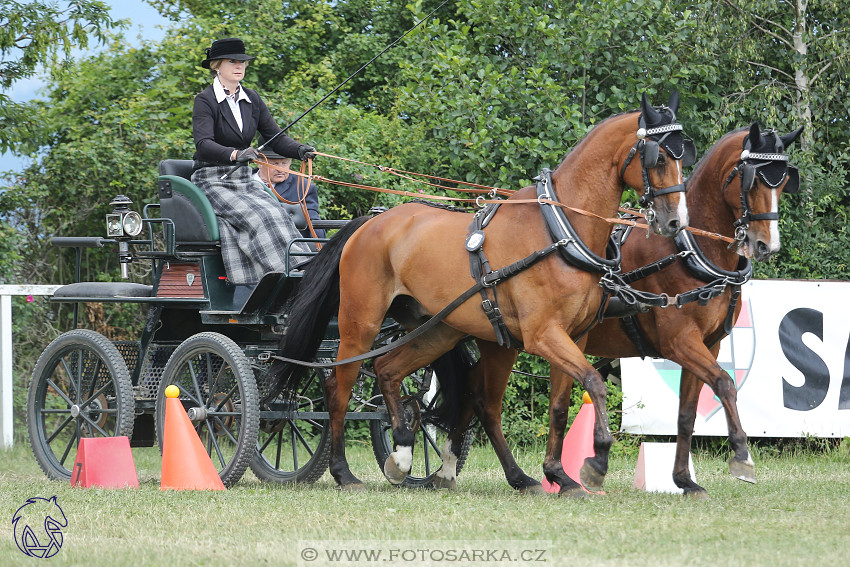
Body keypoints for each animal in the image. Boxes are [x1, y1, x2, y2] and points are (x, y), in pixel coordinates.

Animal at [544, 123, 800, 496]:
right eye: (751, 181)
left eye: (782, 183)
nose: (767, 245)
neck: (688, 250)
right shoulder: (679, 342)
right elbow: (725, 383)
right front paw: (741, 455)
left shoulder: (710, 344)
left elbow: (687, 413)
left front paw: (684, 479)